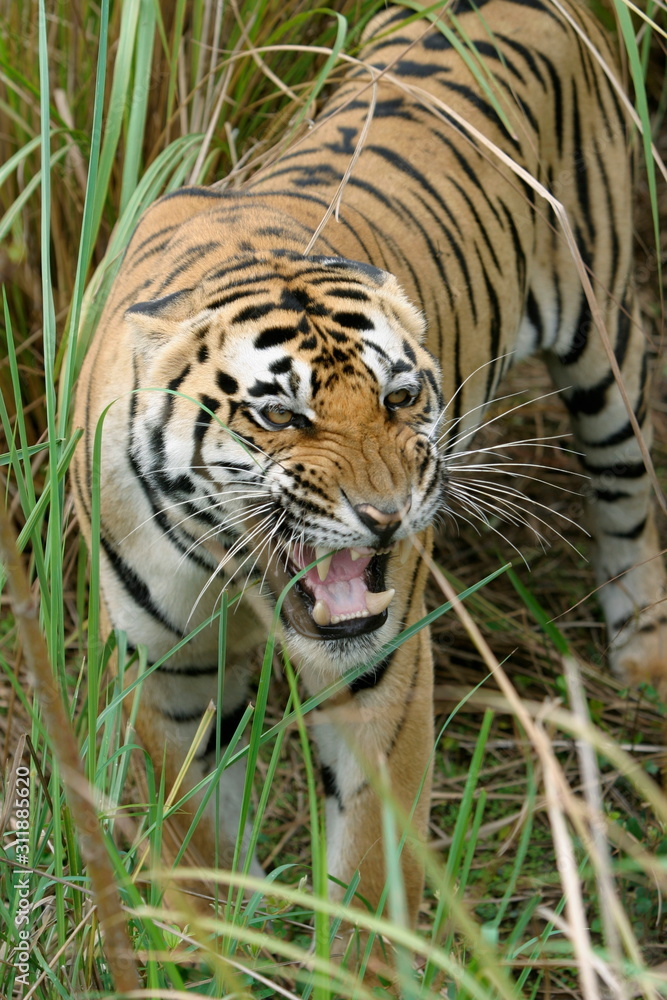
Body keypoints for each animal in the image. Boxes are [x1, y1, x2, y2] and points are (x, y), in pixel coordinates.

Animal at [72, 0, 667, 966]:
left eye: (399, 396)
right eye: (280, 414)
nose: (387, 517)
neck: (228, 566)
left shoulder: (380, 667)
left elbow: (371, 857)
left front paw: (361, 971)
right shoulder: (165, 662)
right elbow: (192, 836)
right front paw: (212, 952)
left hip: (604, 335)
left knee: (629, 495)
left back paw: (642, 664)